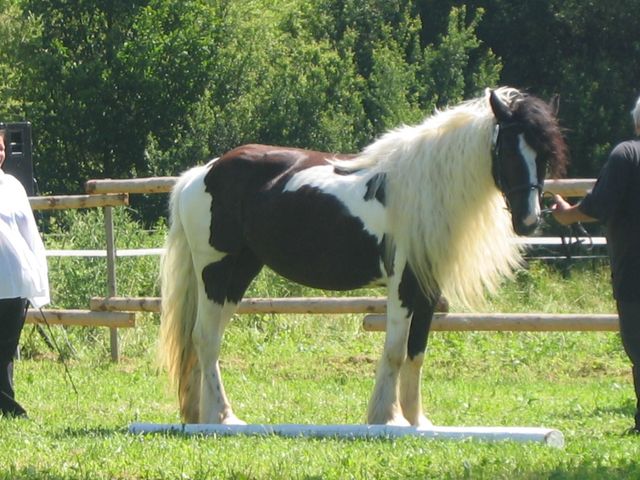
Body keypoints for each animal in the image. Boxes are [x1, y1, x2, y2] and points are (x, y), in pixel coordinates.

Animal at [159, 87, 564, 424]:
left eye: (545, 155)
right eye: (507, 149)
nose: (528, 221)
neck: (425, 188)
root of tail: (204, 172)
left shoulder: (428, 287)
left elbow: (417, 352)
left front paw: (417, 422)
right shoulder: (403, 284)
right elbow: (396, 350)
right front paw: (386, 417)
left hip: (240, 272)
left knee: (207, 338)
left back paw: (201, 415)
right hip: (215, 269)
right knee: (205, 338)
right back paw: (223, 416)